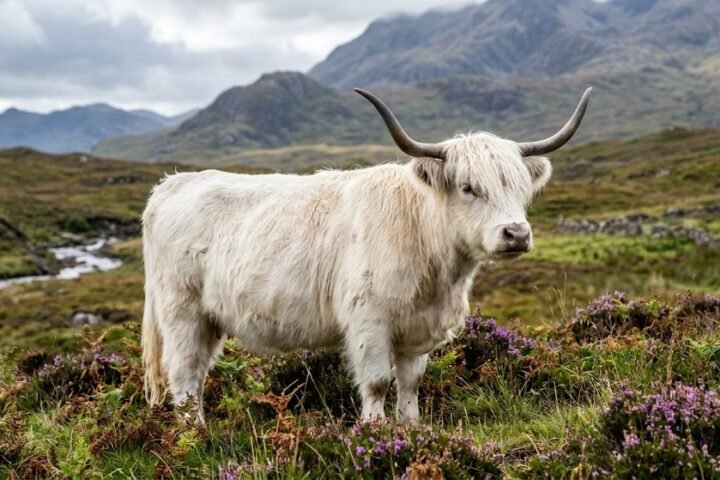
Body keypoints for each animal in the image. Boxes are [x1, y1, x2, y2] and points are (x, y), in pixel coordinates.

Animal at [141, 87, 591, 423]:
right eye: (468, 187)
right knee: (183, 374)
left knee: (198, 374)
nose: (516, 233)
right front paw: (374, 431)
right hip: (181, 310)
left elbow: (410, 383)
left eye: (520, 186)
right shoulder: (369, 319)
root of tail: (170, 185)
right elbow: (377, 381)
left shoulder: (417, 329)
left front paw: (411, 429)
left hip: (210, 319)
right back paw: (195, 437)